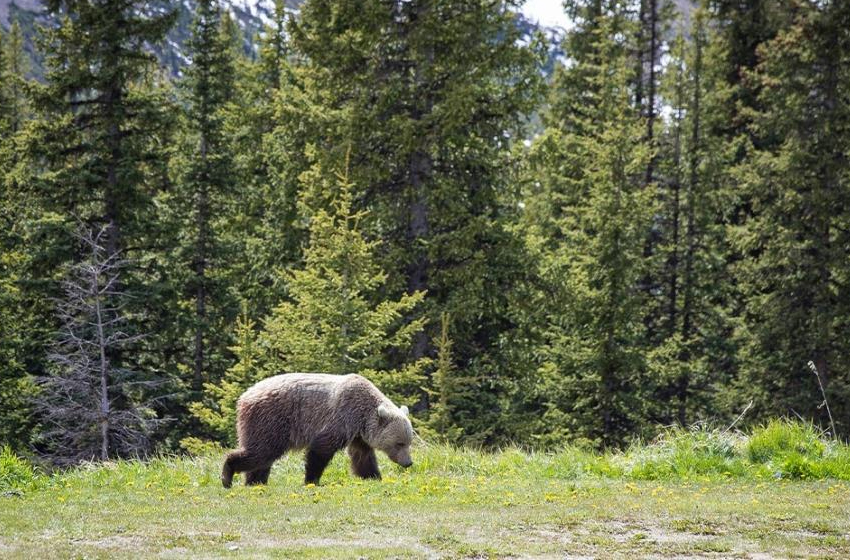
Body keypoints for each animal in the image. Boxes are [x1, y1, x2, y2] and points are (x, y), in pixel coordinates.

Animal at [222, 374, 414, 488]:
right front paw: (311, 480)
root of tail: (244, 396)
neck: (362, 416)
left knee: (261, 458)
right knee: (261, 452)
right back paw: (228, 475)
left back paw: (255, 482)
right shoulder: (341, 417)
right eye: (399, 443)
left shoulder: (358, 434)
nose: (408, 463)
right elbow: (321, 449)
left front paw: (373, 476)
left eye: (409, 442)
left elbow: (362, 456)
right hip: (270, 420)